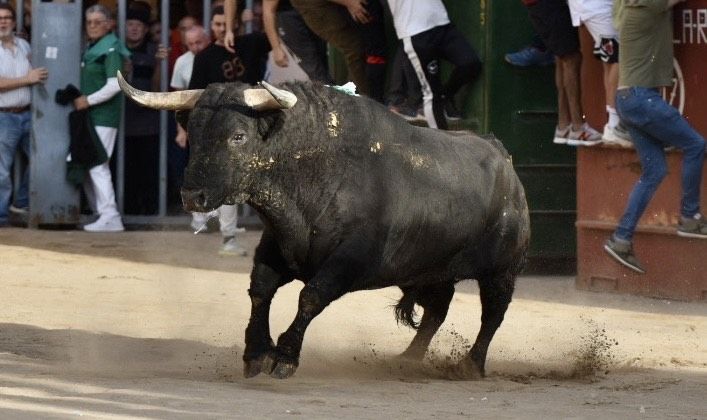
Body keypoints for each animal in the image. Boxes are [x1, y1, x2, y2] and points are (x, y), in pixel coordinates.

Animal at [127, 77, 532, 378]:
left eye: (238, 136)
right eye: (193, 135)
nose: (192, 195)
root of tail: (502, 156)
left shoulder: (349, 260)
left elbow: (312, 296)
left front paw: (284, 357)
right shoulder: (276, 246)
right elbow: (260, 291)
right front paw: (256, 352)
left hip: (501, 271)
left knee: (492, 314)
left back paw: (470, 366)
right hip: (427, 268)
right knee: (438, 309)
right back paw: (407, 358)